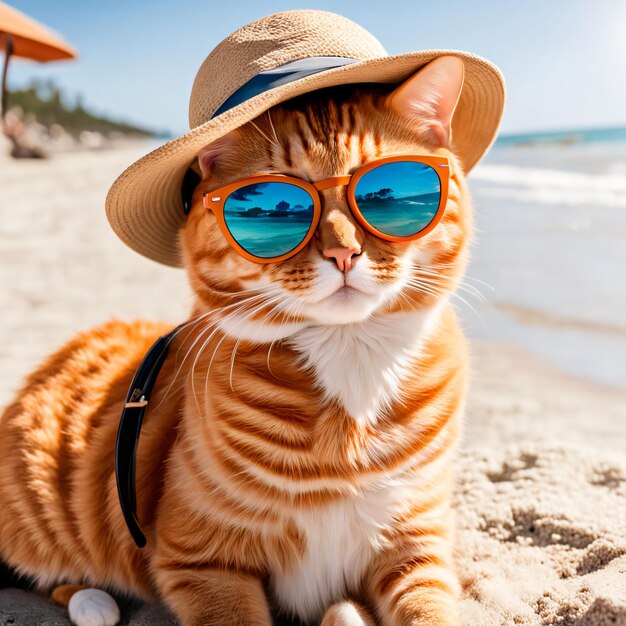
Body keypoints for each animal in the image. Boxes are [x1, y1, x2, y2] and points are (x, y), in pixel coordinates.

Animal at [0, 56, 468, 620]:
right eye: (287, 199)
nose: (344, 253)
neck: (349, 356)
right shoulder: (200, 560)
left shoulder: (418, 549)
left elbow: (430, 611)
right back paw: (93, 603)